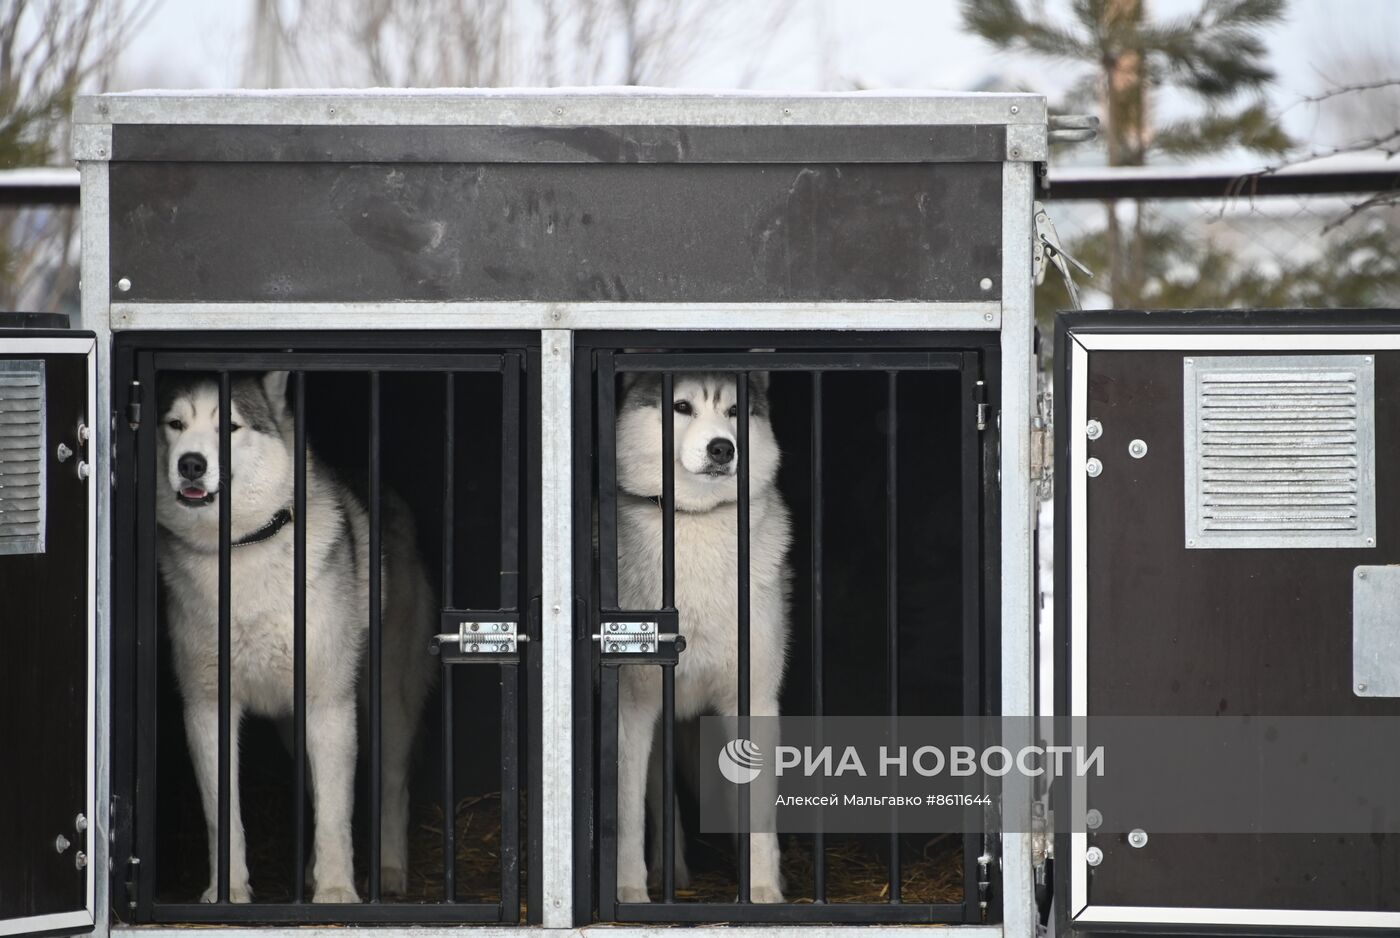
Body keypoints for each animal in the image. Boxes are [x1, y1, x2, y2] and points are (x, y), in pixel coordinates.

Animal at [155, 372, 434, 901]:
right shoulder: (207, 706)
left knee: (392, 787)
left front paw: (337, 893)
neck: (241, 550)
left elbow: (337, 814)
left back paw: (388, 871)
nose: (191, 464)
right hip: (294, 726)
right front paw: (227, 894)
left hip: (390, 703)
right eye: (174, 424)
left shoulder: (330, 705)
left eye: (229, 426)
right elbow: (223, 814)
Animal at [610, 372, 795, 901]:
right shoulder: (632, 707)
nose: (722, 448)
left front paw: (764, 891)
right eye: (681, 406)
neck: (694, 520)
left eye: (735, 411)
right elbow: (628, 812)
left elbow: (758, 811)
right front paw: (628, 893)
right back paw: (666, 873)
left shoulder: (753, 698)